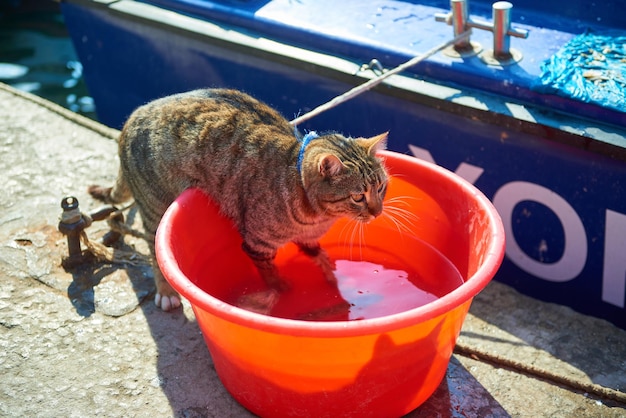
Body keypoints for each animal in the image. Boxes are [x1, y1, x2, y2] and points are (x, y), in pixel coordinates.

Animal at [89, 89, 388, 310]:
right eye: (358, 196)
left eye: (381, 187)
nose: (378, 212)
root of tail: (132, 118)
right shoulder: (257, 245)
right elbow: (272, 275)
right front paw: (284, 289)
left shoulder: (308, 239)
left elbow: (318, 255)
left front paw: (330, 273)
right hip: (155, 207)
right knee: (153, 248)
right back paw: (165, 291)